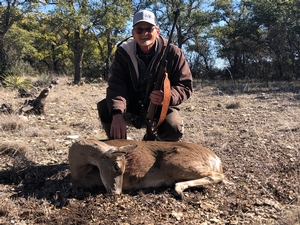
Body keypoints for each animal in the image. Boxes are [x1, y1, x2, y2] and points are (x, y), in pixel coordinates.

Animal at [68, 138, 234, 198]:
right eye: (116, 166)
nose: (117, 192)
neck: (80, 173)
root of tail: (216, 159)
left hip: (175, 164)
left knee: (218, 176)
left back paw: (178, 190)